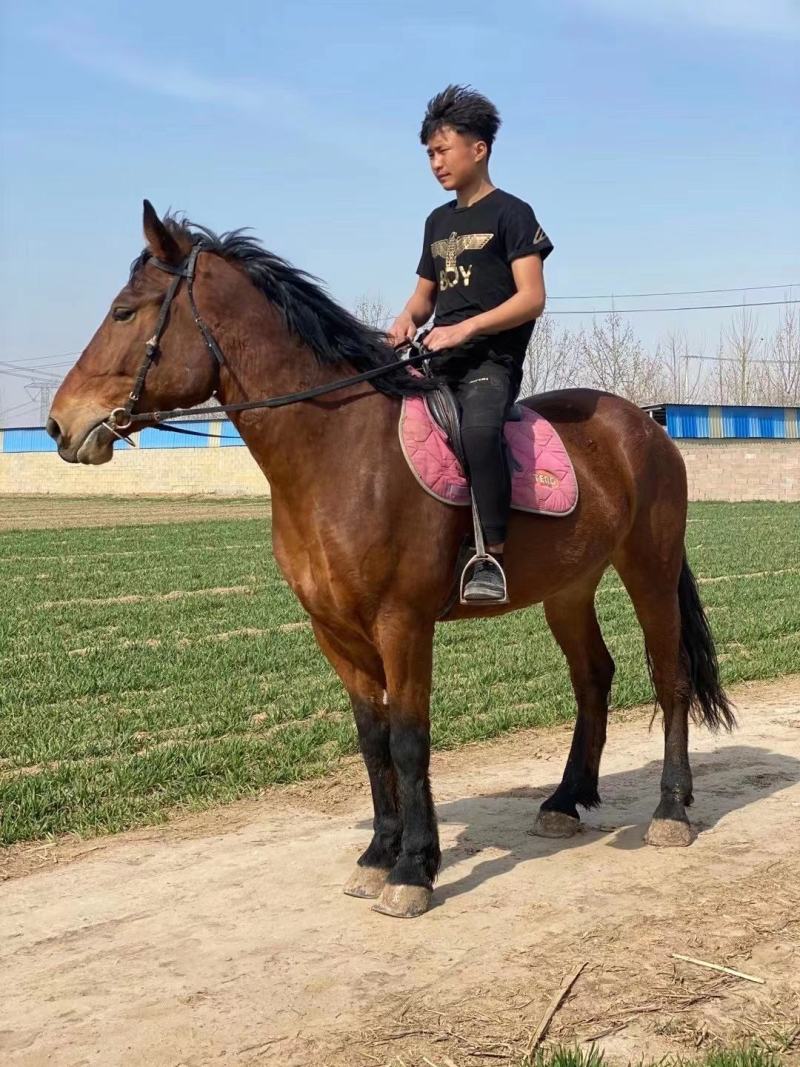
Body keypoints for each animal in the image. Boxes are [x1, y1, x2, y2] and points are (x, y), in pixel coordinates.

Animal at [48, 201, 734, 919]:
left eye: (125, 312)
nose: (60, 425)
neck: (339, 453)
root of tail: (645, 425)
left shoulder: (401, 623)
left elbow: (409, 737)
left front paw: (413, 870)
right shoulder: (334, 630)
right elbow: (372, 738)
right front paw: (379, 854)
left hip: (649, 567)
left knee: (670, 675)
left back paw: (670, 811)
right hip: (569, 588)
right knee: (593, 676)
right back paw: (564, 801)